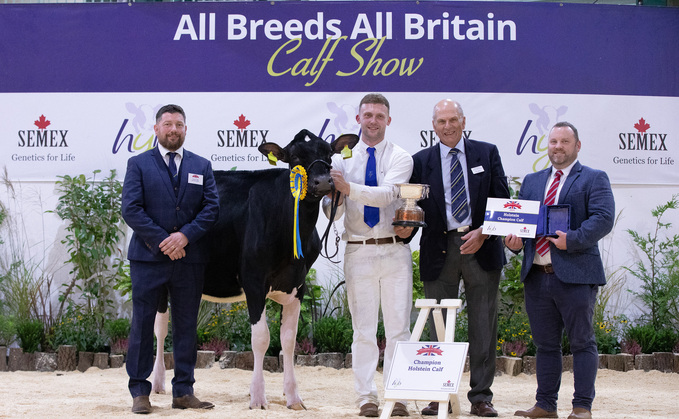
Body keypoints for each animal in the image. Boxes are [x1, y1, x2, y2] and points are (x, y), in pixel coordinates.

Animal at [199, 130, 358, 408]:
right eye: (294, 157)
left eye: (329, 154)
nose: (322, 182)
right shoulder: (253, 281)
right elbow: (261, 339)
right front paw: (257, 397)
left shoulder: (297, 286)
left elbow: (289, 340)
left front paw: (293, 397)